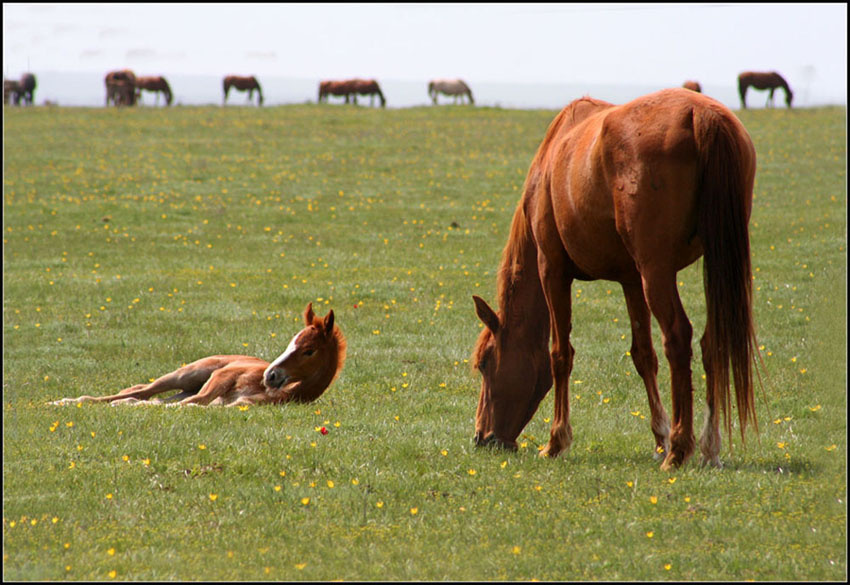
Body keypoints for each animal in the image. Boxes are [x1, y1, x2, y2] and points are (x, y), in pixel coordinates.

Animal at [51, 303, 346, 407]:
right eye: (290, 342)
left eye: (308, 350)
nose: (269, 375)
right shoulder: (222, 378)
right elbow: (189, 403)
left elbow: (192, 404)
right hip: (186, 375)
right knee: (144, 390)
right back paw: (65, 401)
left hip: (186, 385)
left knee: (147, 394)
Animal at [471, 88, 758, 470]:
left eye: (486, 362)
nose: (481, 437)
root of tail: (701, 115)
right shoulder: (631, 280)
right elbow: (643, 355)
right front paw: (660, 437)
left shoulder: (553, 270)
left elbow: (560, 354)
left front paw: (556, 441)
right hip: (707, 266)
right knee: (713, 342)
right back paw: (707, 446)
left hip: (657, 272)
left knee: (678, 338)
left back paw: (681, 449)